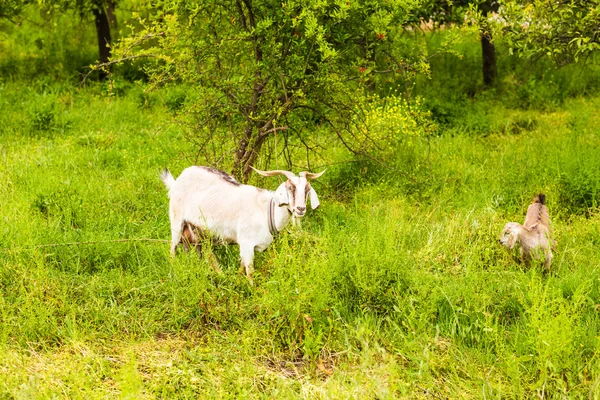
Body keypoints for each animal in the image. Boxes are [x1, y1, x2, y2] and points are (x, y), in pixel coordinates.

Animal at [159, 165, 326, 282]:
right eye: (290, 188)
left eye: (307, 189)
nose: (300, 209)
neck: (266, 212)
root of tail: (177, 181)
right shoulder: (247, 244)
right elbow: (250, 272)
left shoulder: (244, 246)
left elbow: (241, 267)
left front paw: (237, 283)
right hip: (177, 220)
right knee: (172, 248)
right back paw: (174, 273)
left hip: (197, 230)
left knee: (201, 251)